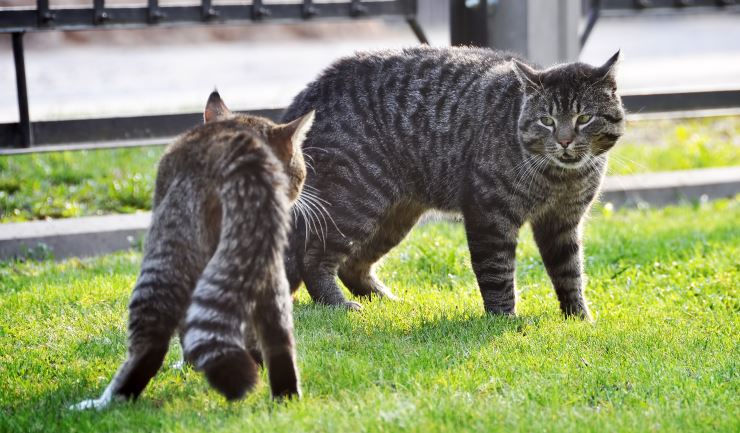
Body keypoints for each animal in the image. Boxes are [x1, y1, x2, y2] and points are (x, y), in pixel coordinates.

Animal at [284, 46, 624, 318]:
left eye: (584, 118)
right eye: (547, 121)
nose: (565, 141)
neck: (561, 178)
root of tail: (312, 89)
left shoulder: (562, 222)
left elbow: (569, 272)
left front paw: (579, 318)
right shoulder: (489, 215)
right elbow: (496, 271)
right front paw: (503, 319)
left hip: (393, 217)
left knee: (351, 264)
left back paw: (385, 300)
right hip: (354, 203)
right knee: (312, 258)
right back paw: (337, 305)